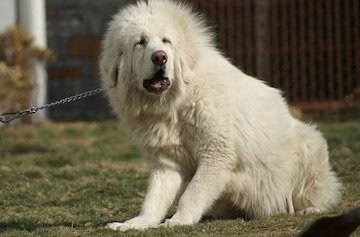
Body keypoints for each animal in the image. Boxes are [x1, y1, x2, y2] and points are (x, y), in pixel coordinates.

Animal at [100, 0, 342, 230]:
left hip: (310, 144)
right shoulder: (166, 163)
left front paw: (179, 221)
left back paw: (307, 209)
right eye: (140, 42)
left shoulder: (216, 154)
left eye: (166, 41)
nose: (160, 57)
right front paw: (136, 223)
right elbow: (153, 200)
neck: (175, 103)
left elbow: (192, 194)